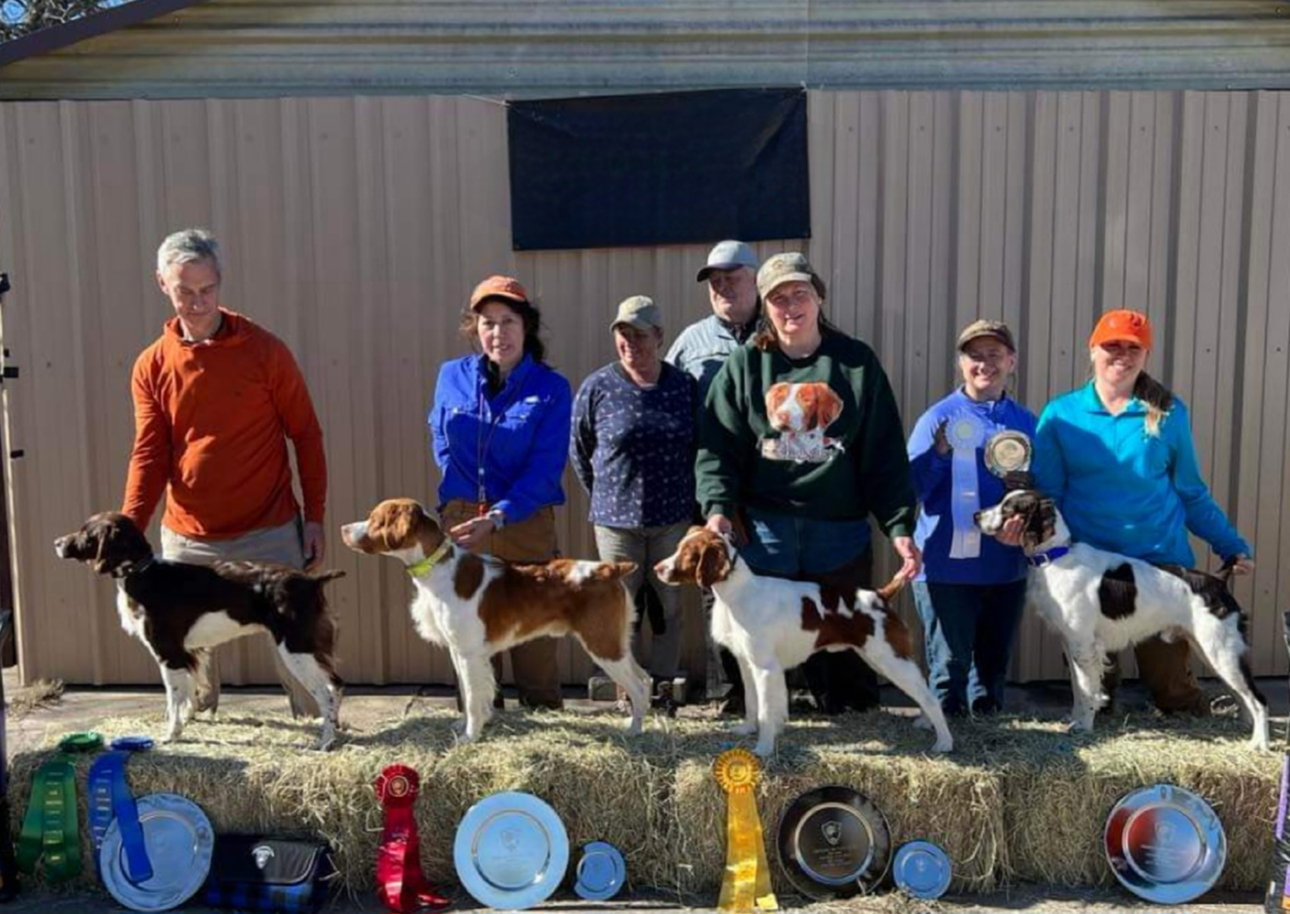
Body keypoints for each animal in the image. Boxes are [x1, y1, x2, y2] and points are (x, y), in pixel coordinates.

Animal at [55, 513, 343, 747]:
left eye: (86, 533)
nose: (57, 542)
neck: (144, 573)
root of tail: (311, 580)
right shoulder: (189, 652)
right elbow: (189, 693)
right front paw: (189, 720)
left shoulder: (168, 653)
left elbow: (173, 699)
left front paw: (171, 734)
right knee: (337, 685)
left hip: (297, 649)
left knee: (326, 694)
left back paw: (325, 742)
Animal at [340, 500, 650, 742]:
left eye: (375, 519)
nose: (343, 529)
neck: (438, 567)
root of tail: (610, 569)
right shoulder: (457, 650)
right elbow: (468, 693)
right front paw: (463, 725)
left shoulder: (468, 652)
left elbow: (473, 697)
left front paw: (469, 736)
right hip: (617, 642)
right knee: (644, 678)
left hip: (601, 642)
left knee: (637, 686)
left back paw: (634, 730)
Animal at [655, 528, 949, 758]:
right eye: (680, 547)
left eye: (688, 554)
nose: (658, 568)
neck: (740, 593)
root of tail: (880, 595)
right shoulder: (747, 663)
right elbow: (751, 702)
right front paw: (748, 729)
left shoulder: (765, 668)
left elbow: (765, 710)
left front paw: (762, 749)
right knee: (924, 694)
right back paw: (927, 725)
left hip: (889, 658)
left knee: (930, 696)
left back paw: (944, 742)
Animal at [975, 487, 1269, 747]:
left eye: (1008, 508)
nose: (976, 515)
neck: (1058, 557)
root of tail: (1218, 580)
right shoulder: (1070, 643)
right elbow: (1077, 688)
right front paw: (1075, 720)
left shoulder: (1084, 645)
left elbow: (1086, 689)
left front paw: (1083, 726)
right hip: (1211, 651)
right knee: (1243, 696)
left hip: (1222, 650)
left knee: (1258, 699)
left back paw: (1259, 744)